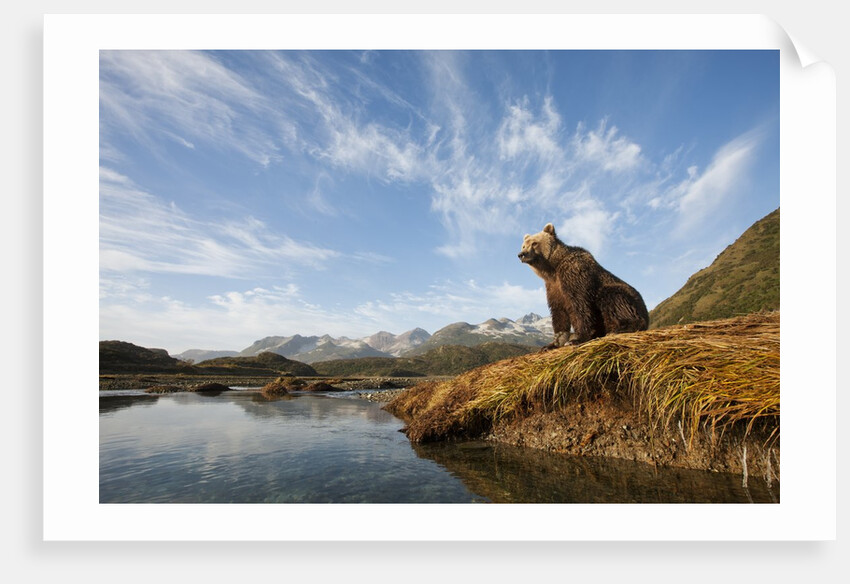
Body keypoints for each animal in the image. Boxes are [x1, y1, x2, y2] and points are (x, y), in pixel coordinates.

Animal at [518, 223, 649, 350]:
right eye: (524, 246)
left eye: (534, 243)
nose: (521, 254)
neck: (552, 268)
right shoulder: (552, 286)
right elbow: (558, 311)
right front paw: (553, 343)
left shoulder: (574, 274)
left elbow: (581, 305)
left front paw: (577, 339)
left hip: (627, 297)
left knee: (612, 297)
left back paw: (620, 328)